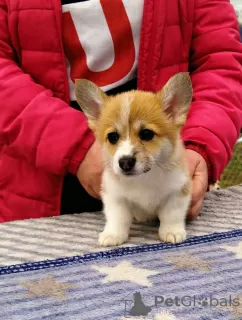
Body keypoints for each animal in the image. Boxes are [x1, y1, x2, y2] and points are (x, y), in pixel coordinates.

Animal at [75, 73, 193, 248]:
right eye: (112, 137)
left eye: (146, 134)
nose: (125, 162)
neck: (143, 179)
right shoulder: (115, 196)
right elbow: (118, 217)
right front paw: (113, 235)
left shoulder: (178, 191)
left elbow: (171, 214)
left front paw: (171, 231)